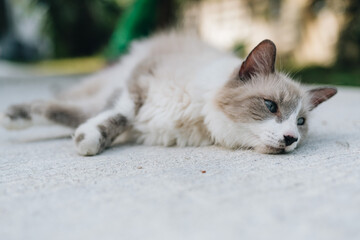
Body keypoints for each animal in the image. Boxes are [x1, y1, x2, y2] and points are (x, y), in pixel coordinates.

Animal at [0, 31, 338, 155]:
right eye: (270, 106)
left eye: (301, 123)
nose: (291, 139)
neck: (199, 111)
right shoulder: (140, 80)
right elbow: (121, 115)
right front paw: (91, 141)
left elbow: (109, 119)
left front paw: (89, 137)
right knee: (58, 103)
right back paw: (11, 119)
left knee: (64, 110)